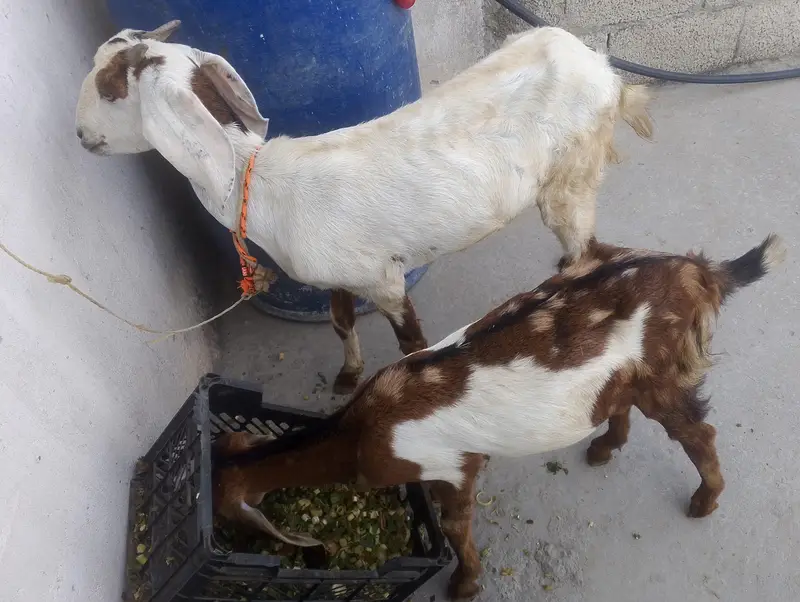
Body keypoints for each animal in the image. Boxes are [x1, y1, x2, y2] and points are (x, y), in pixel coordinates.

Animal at [75, 20, 653, 394]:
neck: (259, 182)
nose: (80, 135)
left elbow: (411, 343)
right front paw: (348, 376)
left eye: (109, 88)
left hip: (571, 173)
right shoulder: (338, 274)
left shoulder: (384, 279)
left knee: (587, 243)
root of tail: (603, 66)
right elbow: (339, 321)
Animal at [211, 234, 785, 600]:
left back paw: (704, 502)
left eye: (223, 515)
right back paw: (603, 449)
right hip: (627, 373)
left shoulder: (452, 467)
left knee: (697, 431)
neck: (357, 434)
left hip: (663, 369)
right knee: (620, 403)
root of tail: (698, 270)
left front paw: (464, 586)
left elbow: (455, 526)